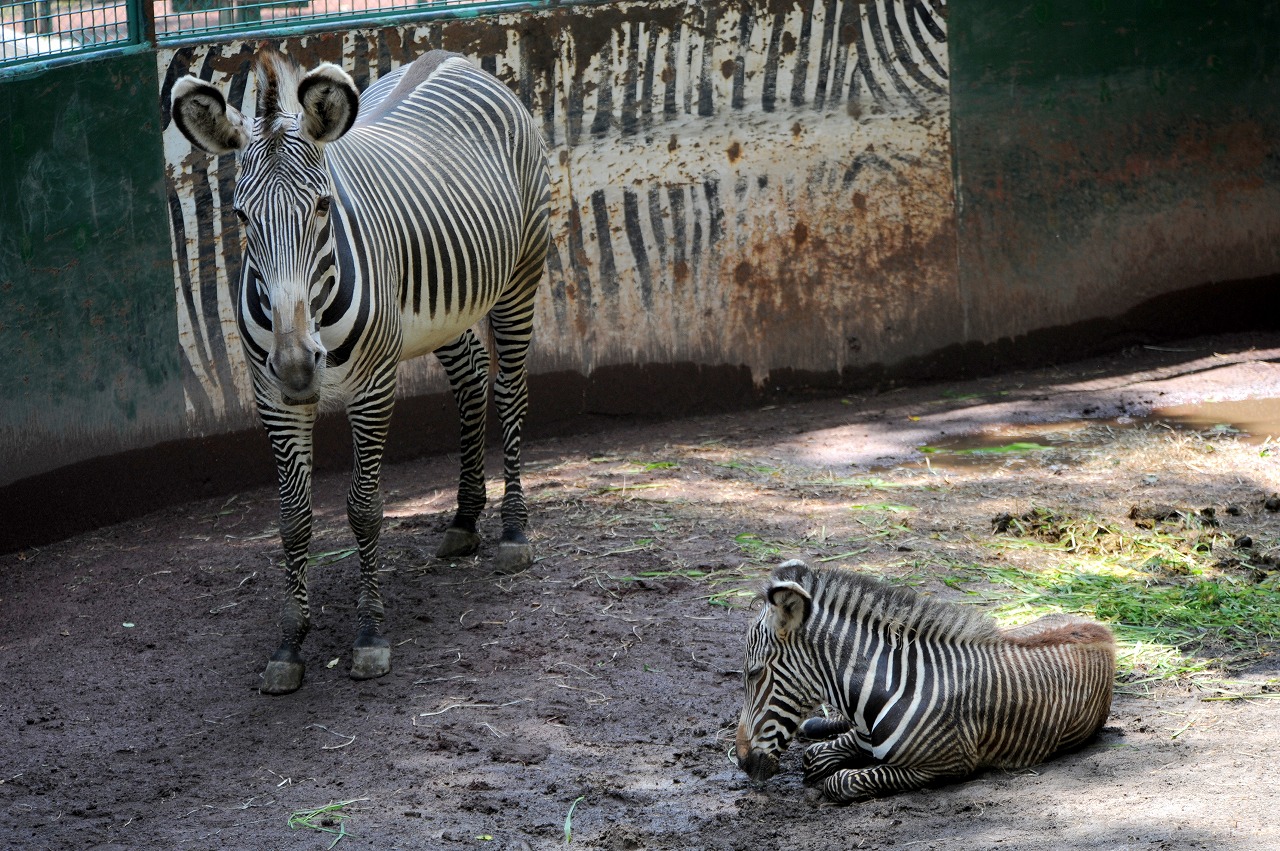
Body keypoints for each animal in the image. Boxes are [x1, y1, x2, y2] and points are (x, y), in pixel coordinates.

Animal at [170, 47, 550, 691]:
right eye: (242, 218)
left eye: (324, 206)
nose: (299, 367)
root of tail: (452, 57)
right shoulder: (272, 397)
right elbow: (293, 519)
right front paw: (290, 644)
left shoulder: (373, 387)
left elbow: (364, 509)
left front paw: (371, 635)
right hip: (437, 312)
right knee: (472, 378)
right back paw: (464, 518)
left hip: (521, 272)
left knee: (511, 390)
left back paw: (513, 531)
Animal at [737, 560, 1116, 798]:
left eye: (754, 674)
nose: (741, 763)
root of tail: (1101, 629)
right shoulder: (862, 737)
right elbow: (814, 756)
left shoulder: (943, 766)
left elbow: (841, 782)